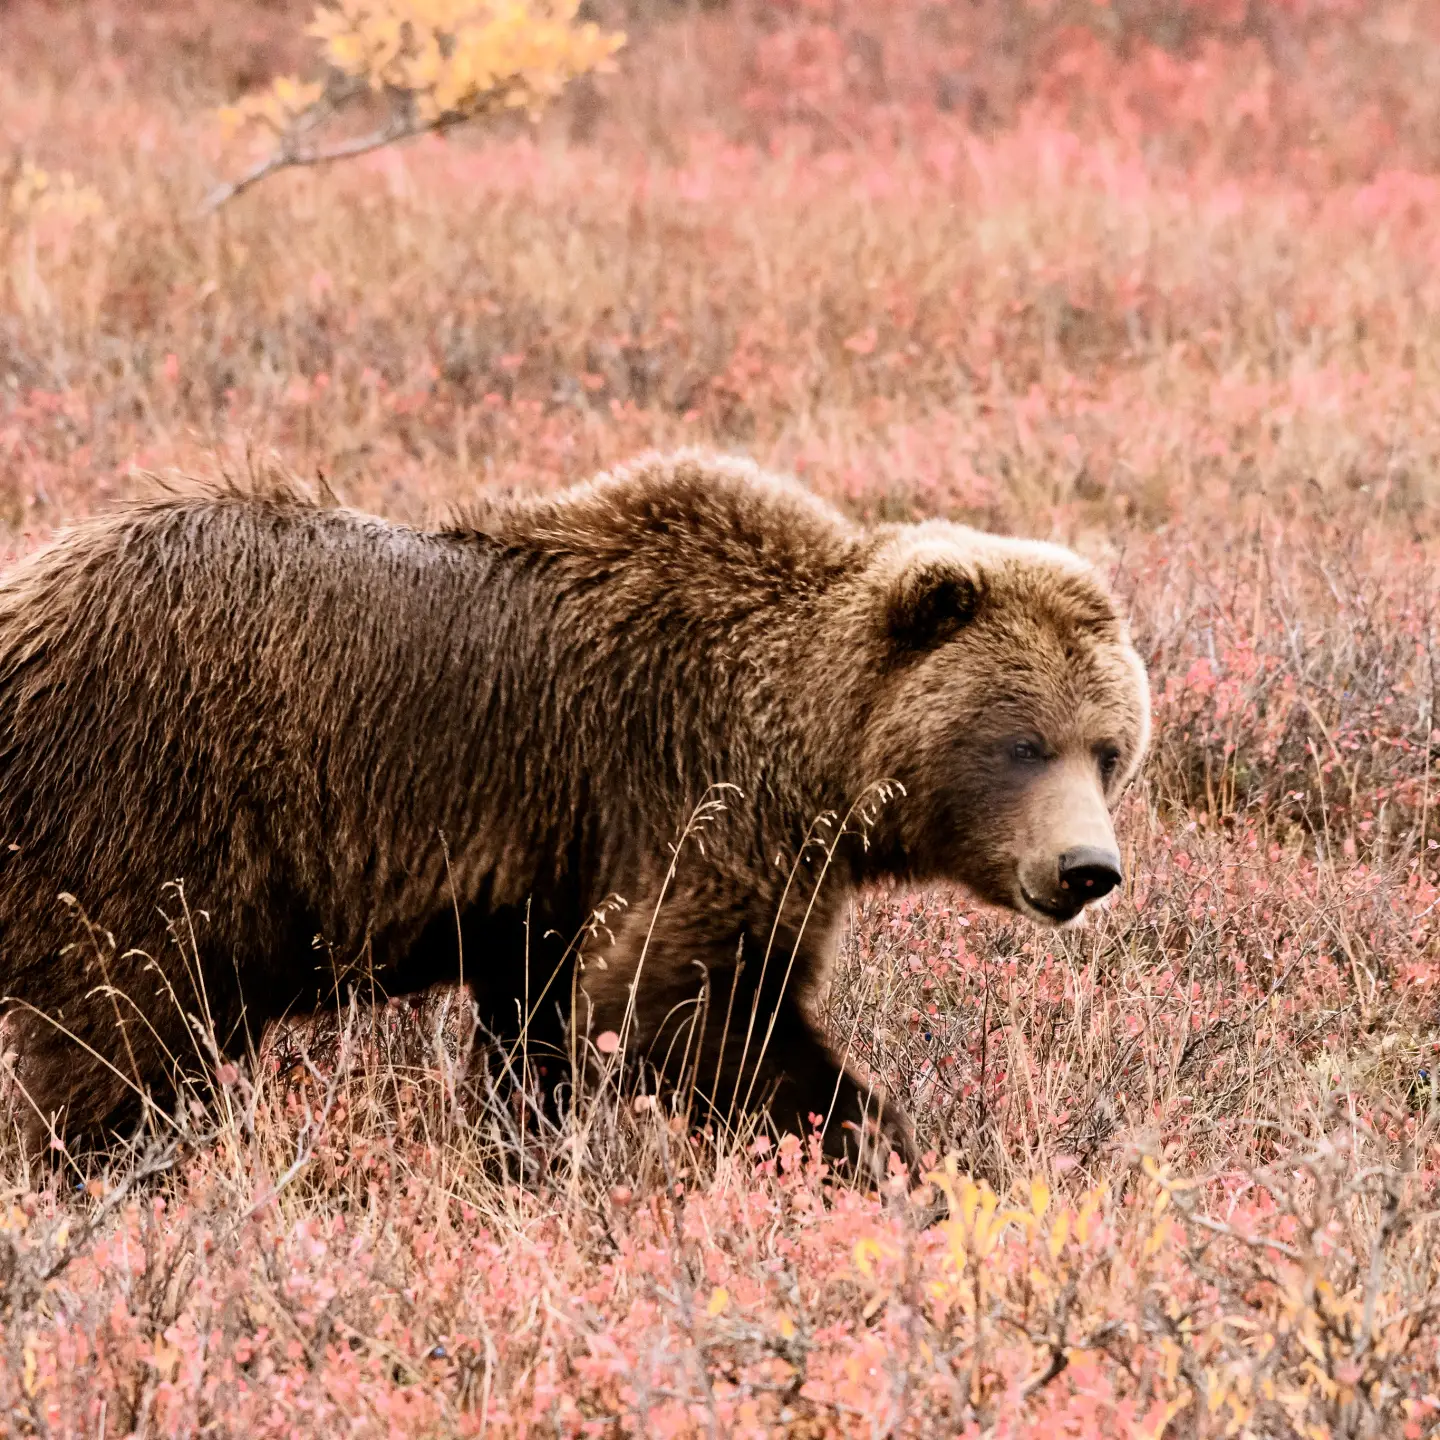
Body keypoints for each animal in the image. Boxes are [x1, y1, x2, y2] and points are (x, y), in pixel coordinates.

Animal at [0, 450, 1150, 1174]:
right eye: (1021, 743)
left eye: (1110, 749)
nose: (1087, 869)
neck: (811, 740)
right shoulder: (693, 800)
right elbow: (675, 1004)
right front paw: (879, 1154)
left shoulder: (550, 883)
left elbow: (541, 1032)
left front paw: (521, 1153)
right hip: (146, 808)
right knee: (114, 1035)